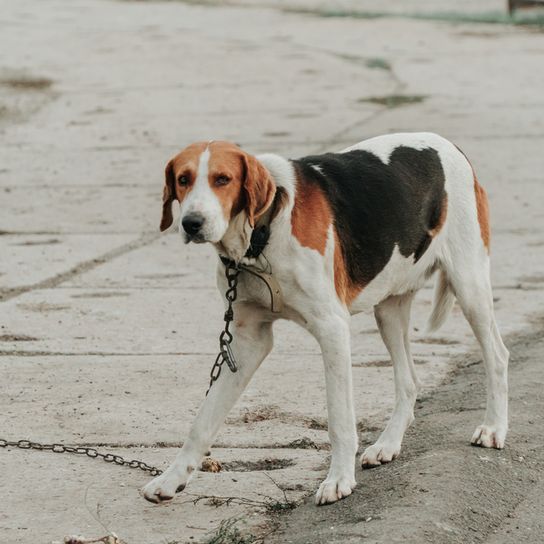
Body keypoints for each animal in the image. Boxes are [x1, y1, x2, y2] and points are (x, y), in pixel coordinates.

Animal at [142, 132, 508, 506]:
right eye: (183, 179)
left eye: (222, 179)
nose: (191, 223)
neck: (262, 235)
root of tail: (446, 143)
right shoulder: (247, 341)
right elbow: (202, 421)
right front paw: (171, 479)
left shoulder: (331, 329)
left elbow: (339, 420)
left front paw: (339, 480)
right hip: (388, 308)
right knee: (409, 381)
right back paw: (388, 445)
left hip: (469, 285)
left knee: (497, 355)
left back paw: (493, 428)